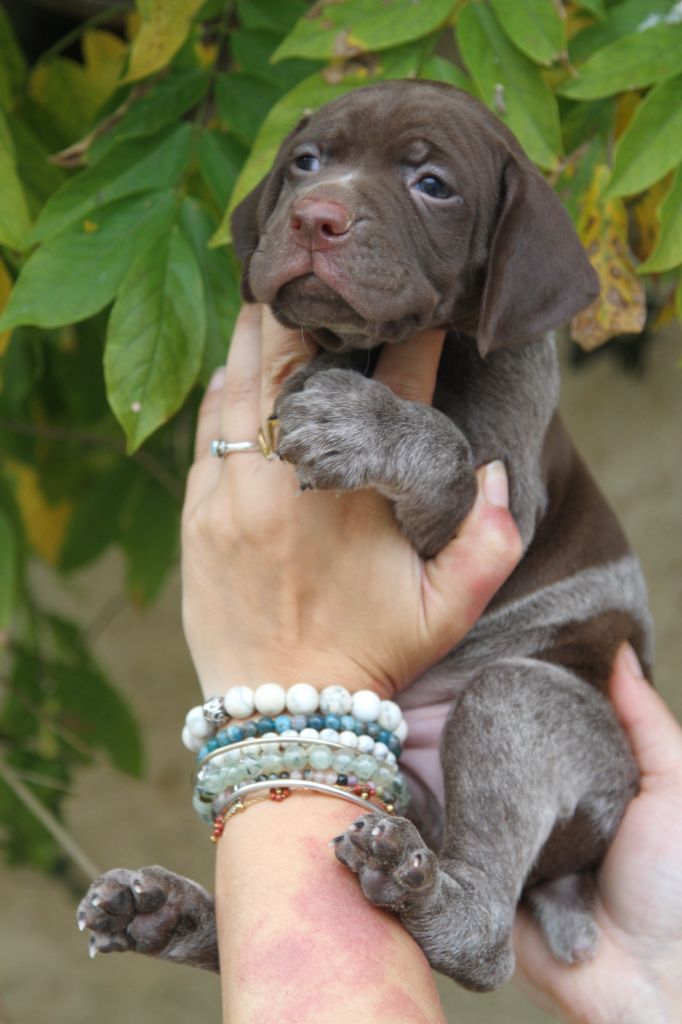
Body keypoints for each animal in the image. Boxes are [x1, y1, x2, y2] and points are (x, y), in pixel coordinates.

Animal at [78, 83, 647, 995]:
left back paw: (424, 895)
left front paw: (359, 418)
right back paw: (168, 913)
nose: (317, 217)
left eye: (433, 185)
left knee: (487, 944)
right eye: (306, 162)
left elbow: (445, 452)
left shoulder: (500, 506)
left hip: (519, 698)